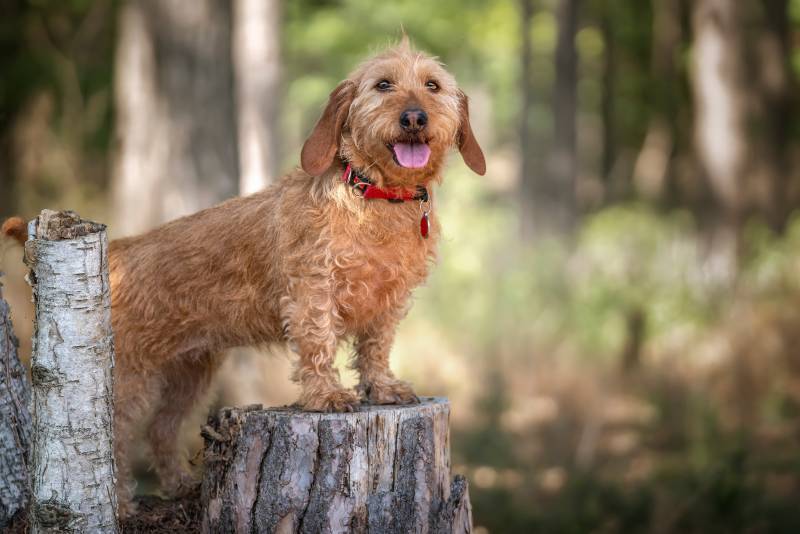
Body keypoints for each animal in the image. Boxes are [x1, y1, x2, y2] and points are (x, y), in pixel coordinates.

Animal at [3, 37, 484, 516]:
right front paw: (326, 396)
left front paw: (382, 387)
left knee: (161, 429)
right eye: (383, 84)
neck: (376, 198)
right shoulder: (312, 292)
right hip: (129, 376)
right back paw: (119, 505)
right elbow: (319, 344)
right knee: (117, 440)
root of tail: (120, 249)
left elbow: (376, 349)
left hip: (190, 373)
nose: (415, 117)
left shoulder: (388, 301)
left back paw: (180, 485)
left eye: (432, 85)